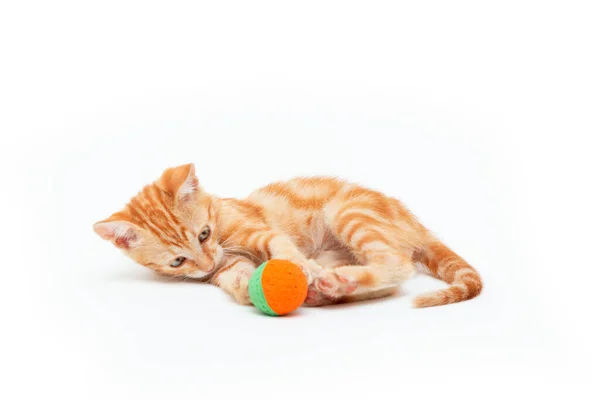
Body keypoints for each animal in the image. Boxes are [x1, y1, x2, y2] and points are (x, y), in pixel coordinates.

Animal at [95, 164, 482, 308]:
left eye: (204, 234)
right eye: (178, 261)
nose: (205, 262)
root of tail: (415, 223)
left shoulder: (256, 227)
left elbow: (277, 243)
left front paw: (298, 267)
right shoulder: (222, 266)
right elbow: (232, 276)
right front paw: (245, 288)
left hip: (349, 213)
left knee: (399, 265)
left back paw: (334, 281)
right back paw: (332, 288)